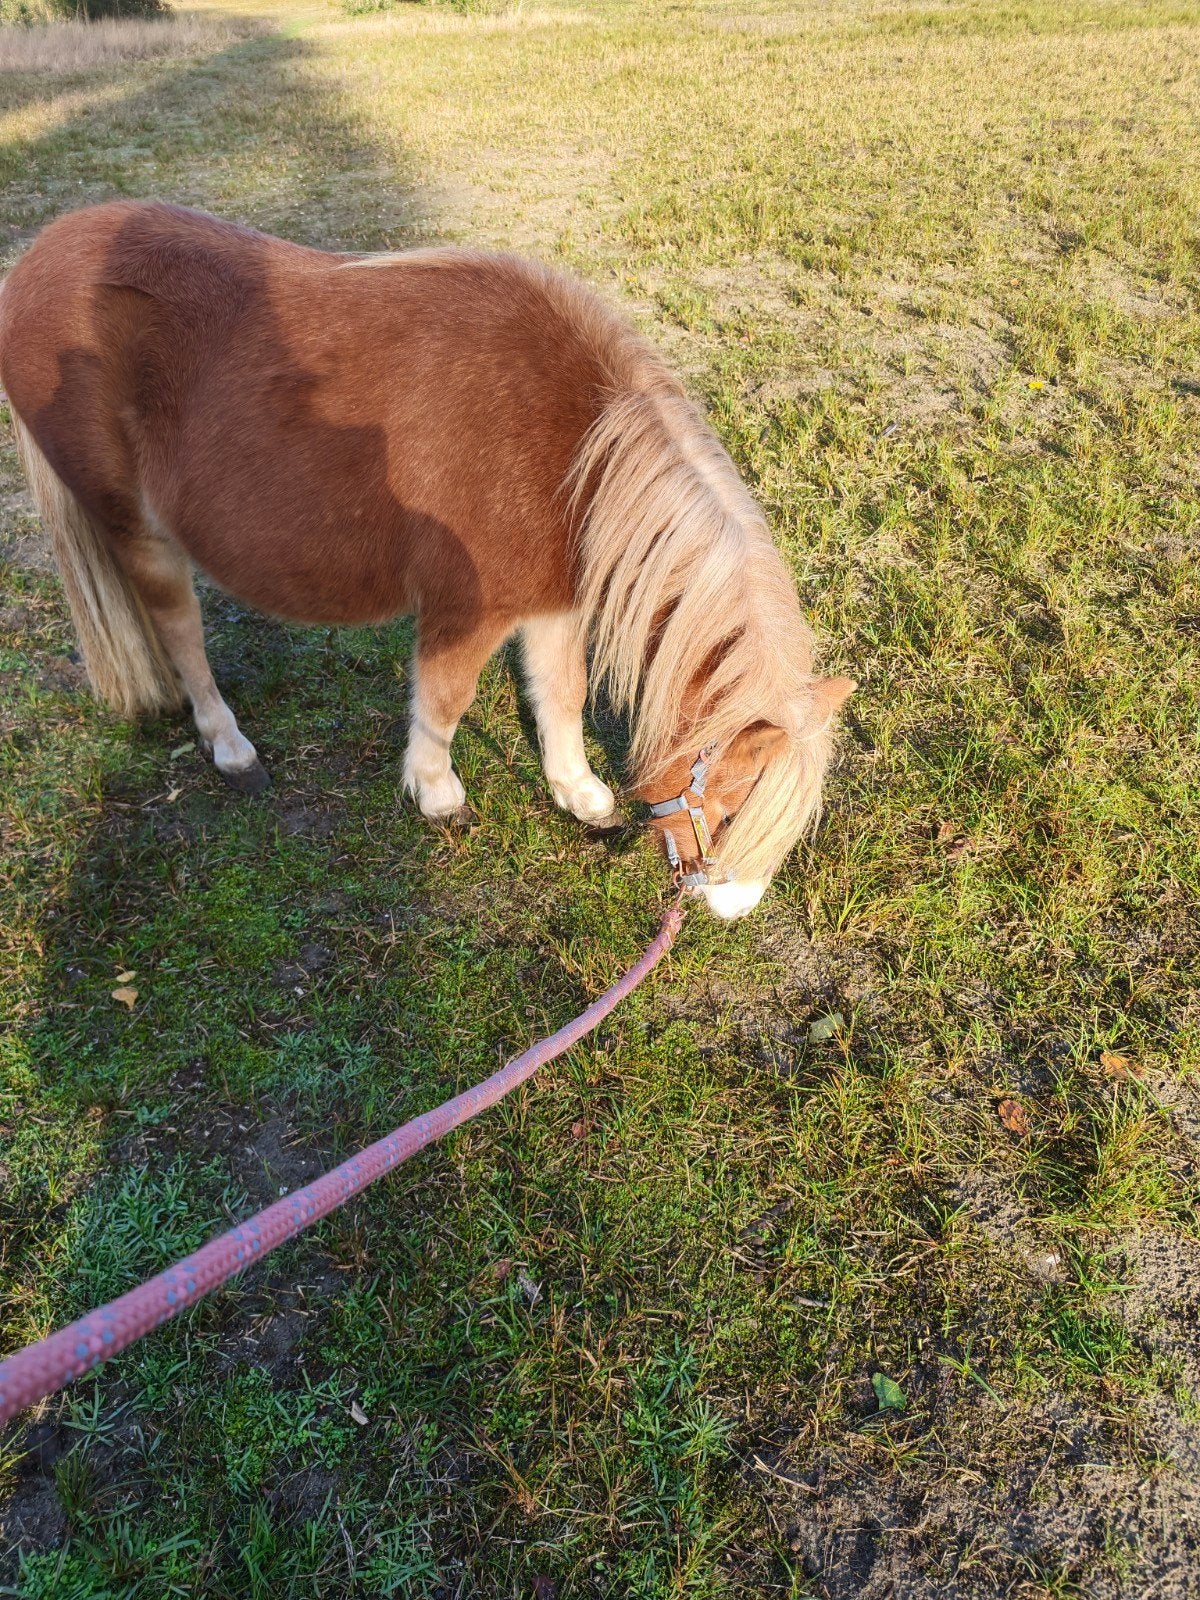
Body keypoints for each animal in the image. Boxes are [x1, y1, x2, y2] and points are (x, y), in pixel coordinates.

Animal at [0, 201, 853, 918]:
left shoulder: (551, 601)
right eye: (735, 802)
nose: (730, 907)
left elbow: (563, 694)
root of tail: (39, 259)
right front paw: (437, 791)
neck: (578, 453)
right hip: (136, 528)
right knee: (178, 629)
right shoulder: (469, 607)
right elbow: (446, 699)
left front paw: (576, 791)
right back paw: (229, 746)